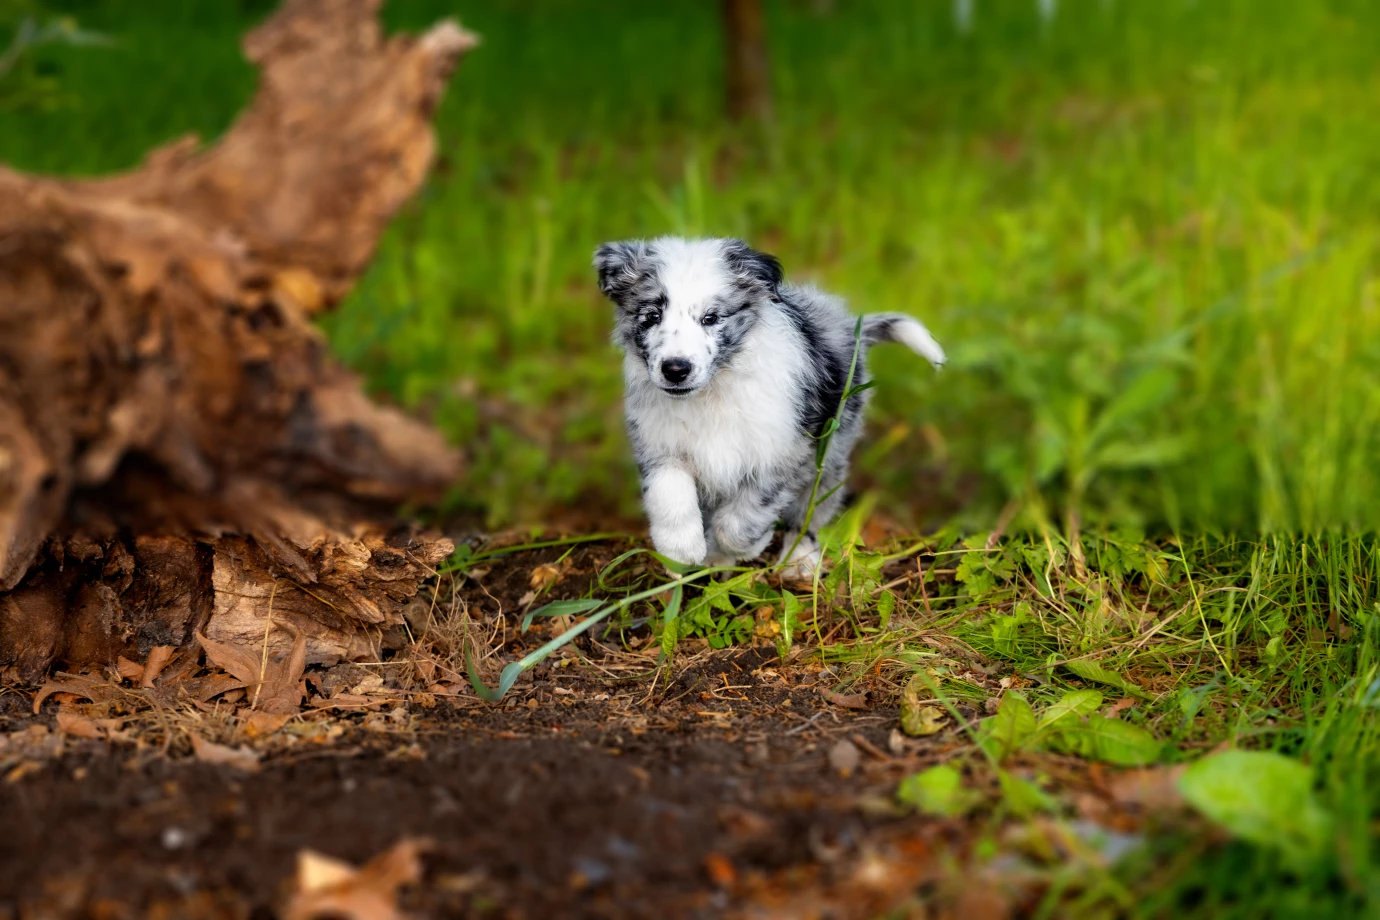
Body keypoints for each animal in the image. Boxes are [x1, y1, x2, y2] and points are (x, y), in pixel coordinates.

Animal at [587, 240, 943, 582]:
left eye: (711, 318)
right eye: (651, 317)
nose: (676, 369)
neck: (713, 393)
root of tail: (845, 326)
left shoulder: (781, 451)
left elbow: (742, 519)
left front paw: (740, 548)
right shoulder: (659, 442)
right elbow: (669, 494)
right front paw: (681, 550)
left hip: (830, 454)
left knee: (808, 515)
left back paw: (798, 562)